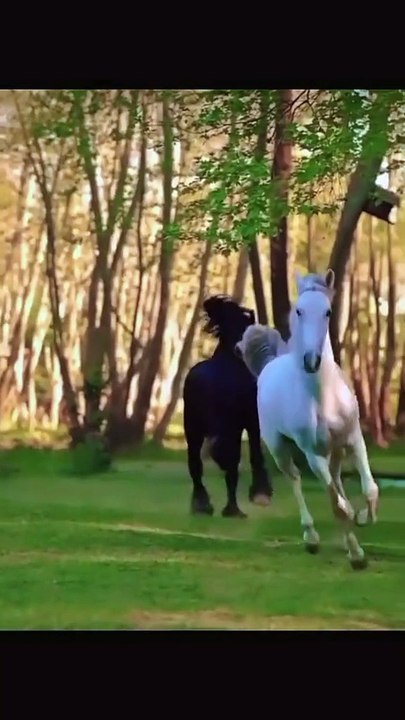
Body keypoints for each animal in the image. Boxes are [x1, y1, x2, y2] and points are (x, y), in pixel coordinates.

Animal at [183, 295, 273, 519]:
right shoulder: (251, 421)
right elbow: (255, 454)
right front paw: (261, 492)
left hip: (193, 428)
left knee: (197, 464)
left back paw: (205, 504)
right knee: (226, 461)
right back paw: (226, 507)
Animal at [237, 269, 379, 569]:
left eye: (327, 311)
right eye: (299, 310)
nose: (311, 360)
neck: (324, 398)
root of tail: (268, 365)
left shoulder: (354, 439)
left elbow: (369, 489)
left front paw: (362, 518)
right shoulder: (313, 455)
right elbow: (336, 506)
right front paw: (357, 555)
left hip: (336, 450)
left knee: (336, 479)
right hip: (280, 449)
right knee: (296, 479)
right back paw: (311, 536)